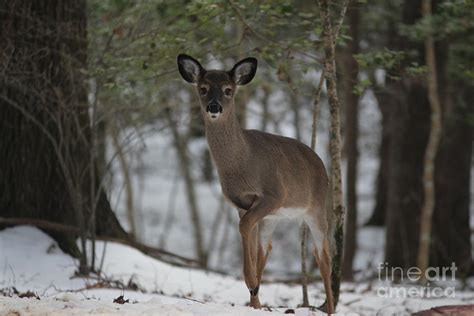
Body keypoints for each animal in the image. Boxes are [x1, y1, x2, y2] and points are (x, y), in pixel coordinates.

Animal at [177, 53, 334, 314]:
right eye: (203, 88)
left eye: (228, 90)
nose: (214, 107)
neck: (243, 163)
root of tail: (320, 161)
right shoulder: (242, 204)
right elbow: (248, 237)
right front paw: (252, 288)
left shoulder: (274, 194)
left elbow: (245, 229)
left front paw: (251, 283)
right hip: (274, 217)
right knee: (266, 249)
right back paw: (256, 299)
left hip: (317, 208)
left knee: (324, 257)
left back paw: (330, 308)